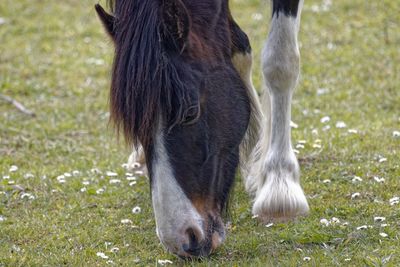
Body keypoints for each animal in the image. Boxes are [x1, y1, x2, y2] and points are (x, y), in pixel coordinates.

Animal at [95, 0, 308, 258]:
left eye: (191, 111)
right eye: (134, 127)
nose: (181, 240)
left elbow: (279, 63)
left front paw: (279, 185)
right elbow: (238, 47)